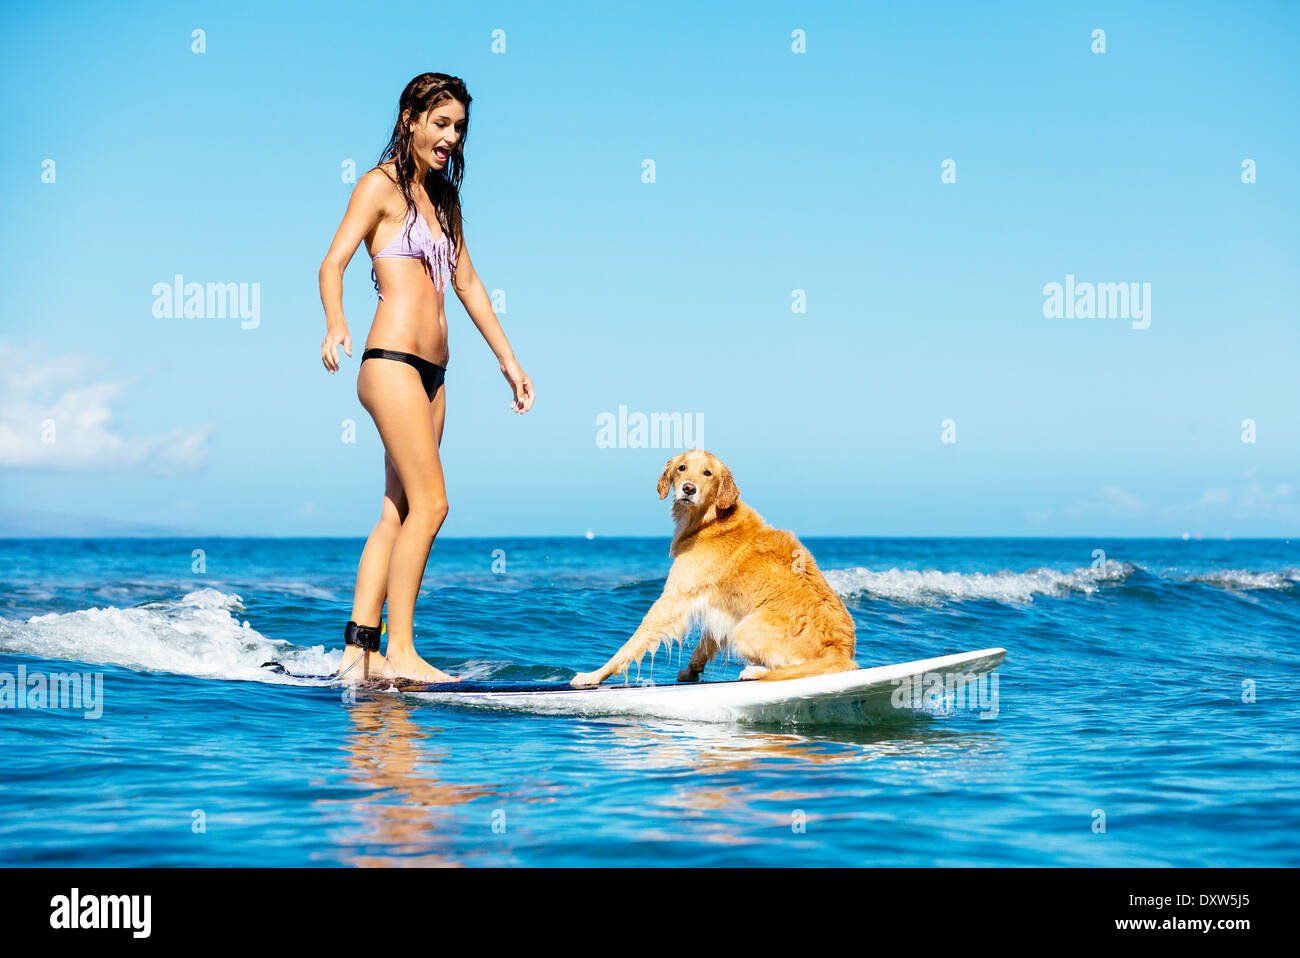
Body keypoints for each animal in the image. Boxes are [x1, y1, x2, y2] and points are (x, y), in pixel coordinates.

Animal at [572, 447, 857, 686]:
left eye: (707, 473)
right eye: (682, 468)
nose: (688, 489)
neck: (710, 521)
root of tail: (842, 652)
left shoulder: (675, 597)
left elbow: (634, 640)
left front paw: (594, 675)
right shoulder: (717, 605)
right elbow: (704, 645)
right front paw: (691, 671)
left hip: (746, 630)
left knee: (796, 666)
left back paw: (755, 671)